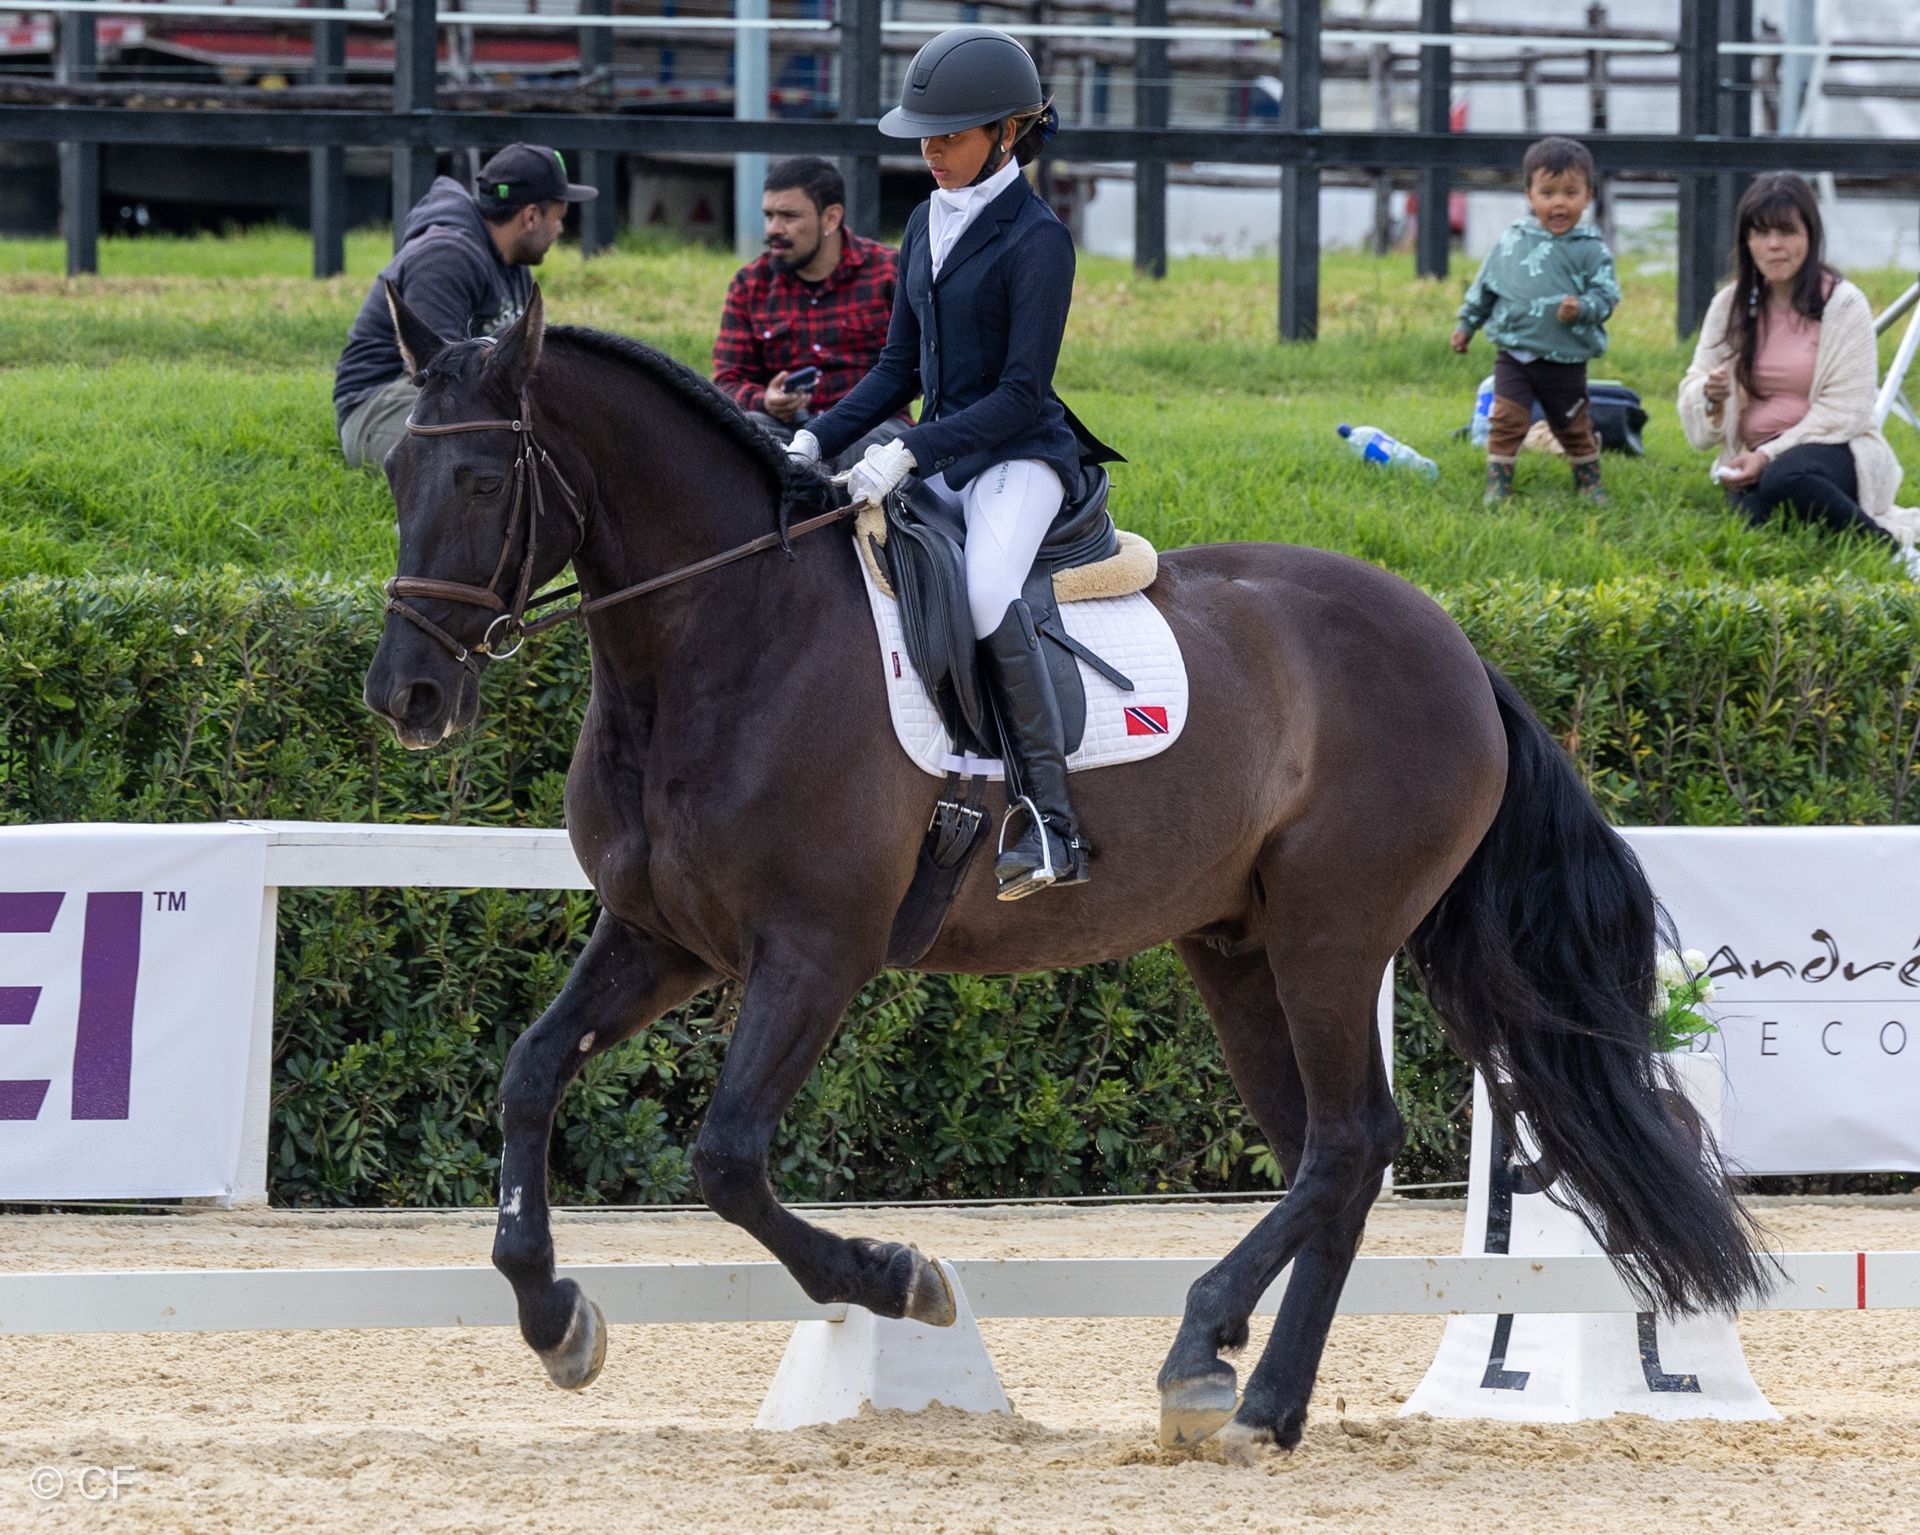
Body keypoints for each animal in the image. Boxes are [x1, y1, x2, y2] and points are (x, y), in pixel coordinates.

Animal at [363, 286, 1769, 1456]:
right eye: (393, 470)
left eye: (482, 478)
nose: (407, 695)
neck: (722, 636)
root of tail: (1459, 648)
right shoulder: (664, 935)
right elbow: (530, 1072)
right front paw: (555, 1315)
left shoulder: (814, 950)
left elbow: (728, 1156)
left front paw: (898, 1277)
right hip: (1238, 944)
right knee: (1334, 1151)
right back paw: (1251, 1391)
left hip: (1332, 932)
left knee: (1350, 1137)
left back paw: (1220, 1359)